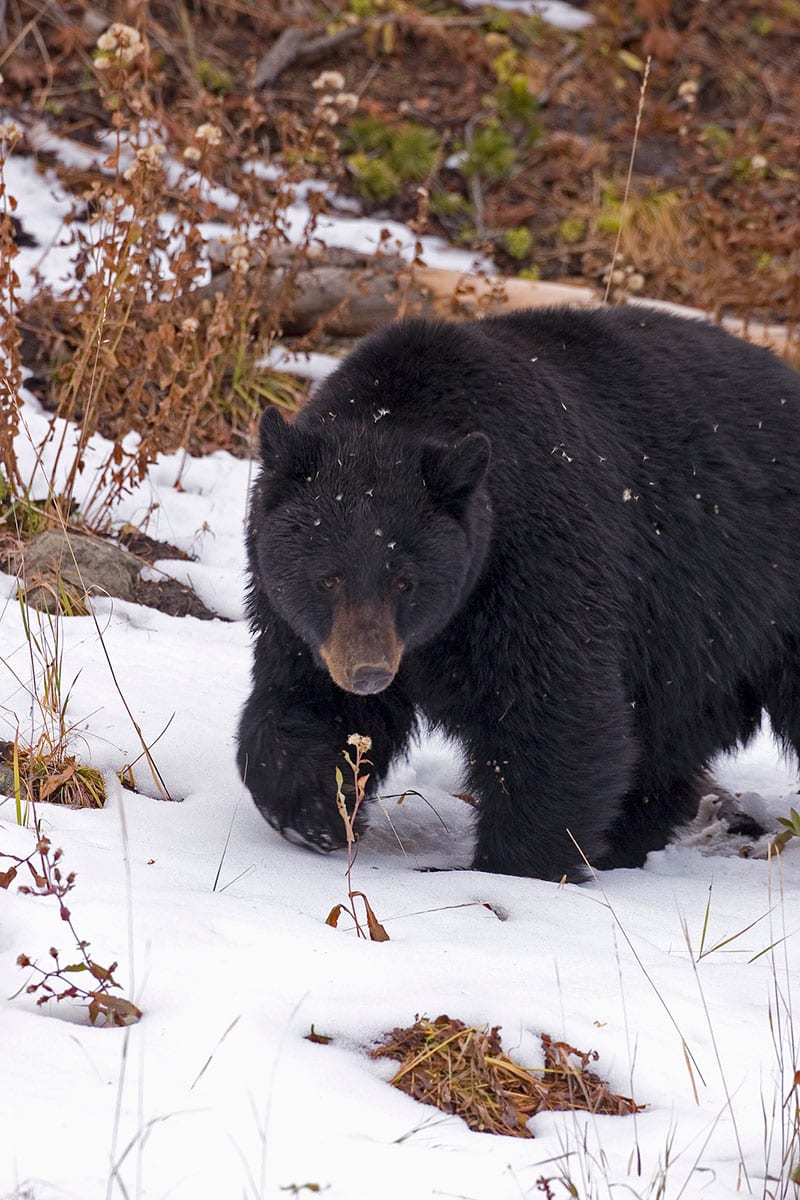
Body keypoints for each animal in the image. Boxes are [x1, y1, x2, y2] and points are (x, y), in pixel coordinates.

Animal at [237, 306, 800, 881]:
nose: (368, 674)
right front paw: (312, 813)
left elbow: (551, 711)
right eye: (327, 577)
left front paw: (514, 866)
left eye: (405, 581)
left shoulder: (535, 559)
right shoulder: (303, 620)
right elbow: (305, 698)